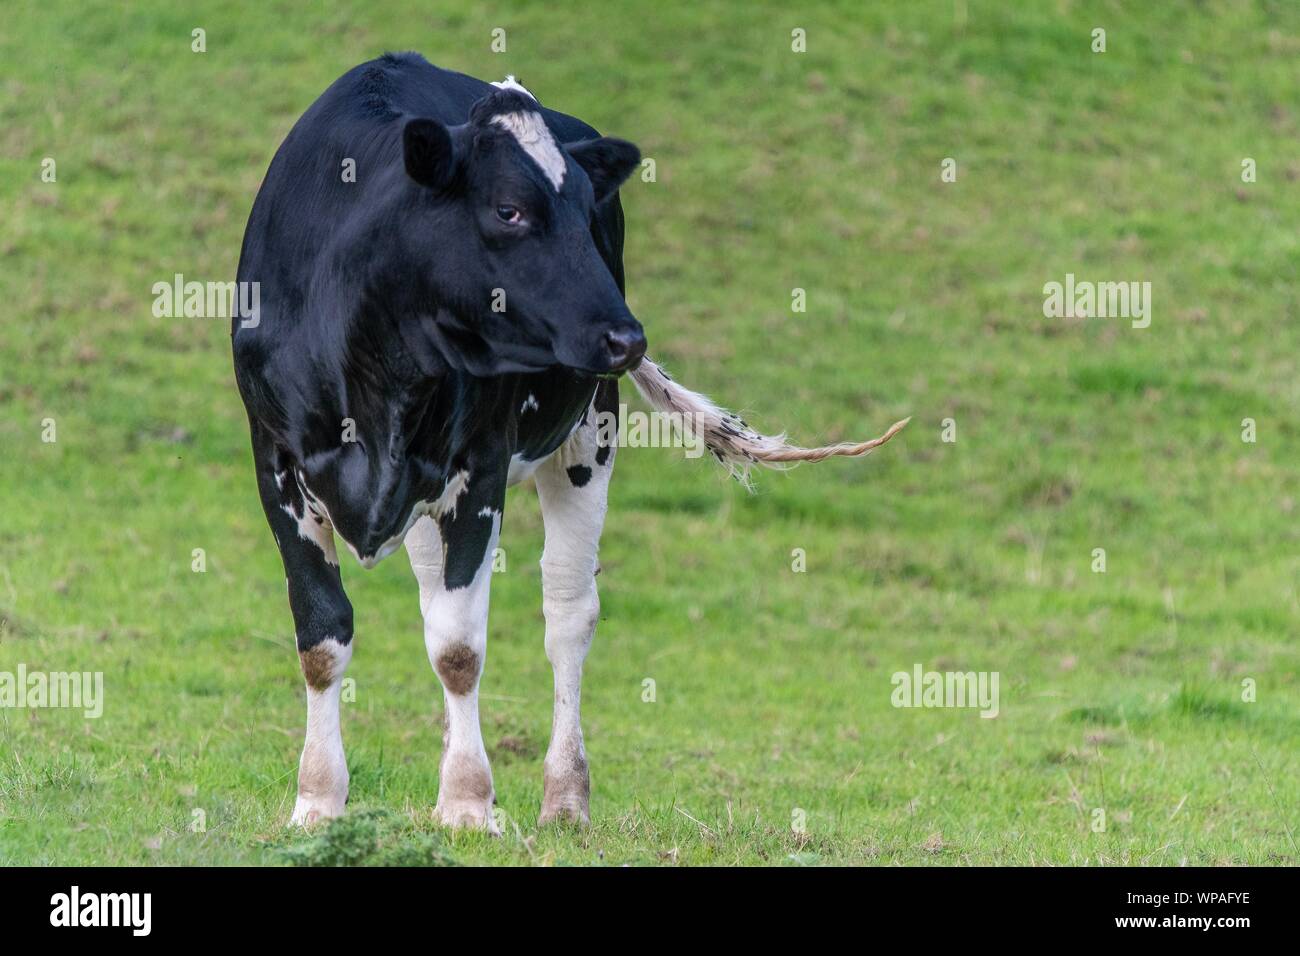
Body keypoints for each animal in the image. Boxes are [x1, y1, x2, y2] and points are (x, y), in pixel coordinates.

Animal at [232, 52, 907, 831]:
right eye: (508, 209)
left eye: (587, 216)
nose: (626, 335)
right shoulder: (275, 461)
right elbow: (323, 637)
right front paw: (318, 799)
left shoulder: (481, 467)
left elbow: (459, 648)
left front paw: (468, 801)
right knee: (437, 598)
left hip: (588, 437)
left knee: (566, 613)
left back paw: (565, 794)